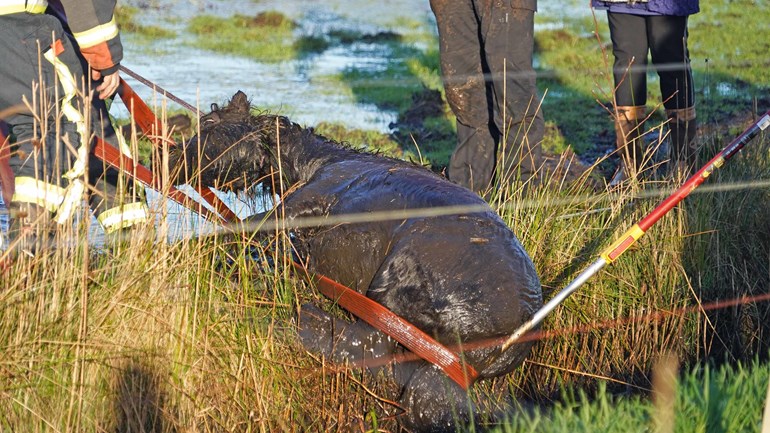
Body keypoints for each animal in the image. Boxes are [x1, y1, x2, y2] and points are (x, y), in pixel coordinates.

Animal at [170, 91, 540, 432]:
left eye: (210, 124)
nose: (169, 153)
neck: (319, 161)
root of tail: (504, 342)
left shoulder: (304, 203)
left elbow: (246, 226)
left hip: (393, 278)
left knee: (370, 343)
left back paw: (298, 315)